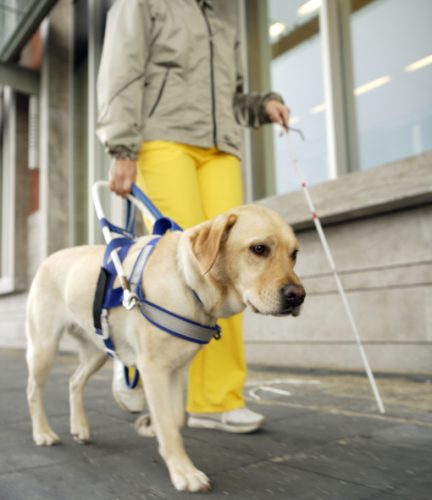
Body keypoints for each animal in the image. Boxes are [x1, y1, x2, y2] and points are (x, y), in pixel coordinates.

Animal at [25, 204, 306, 492]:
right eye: (259, 248)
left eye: (294, 254)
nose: (298, 296)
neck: (186, 281)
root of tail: (47, 260)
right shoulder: (154, 369)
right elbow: (170, 427)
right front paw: (184, 472)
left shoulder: (176, 369)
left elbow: (176, 418)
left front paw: (152, 428)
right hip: (44, 346)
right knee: (33, 390)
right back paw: (43, 433)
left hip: (98, 350)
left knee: (74, 382)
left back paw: (79, 428)